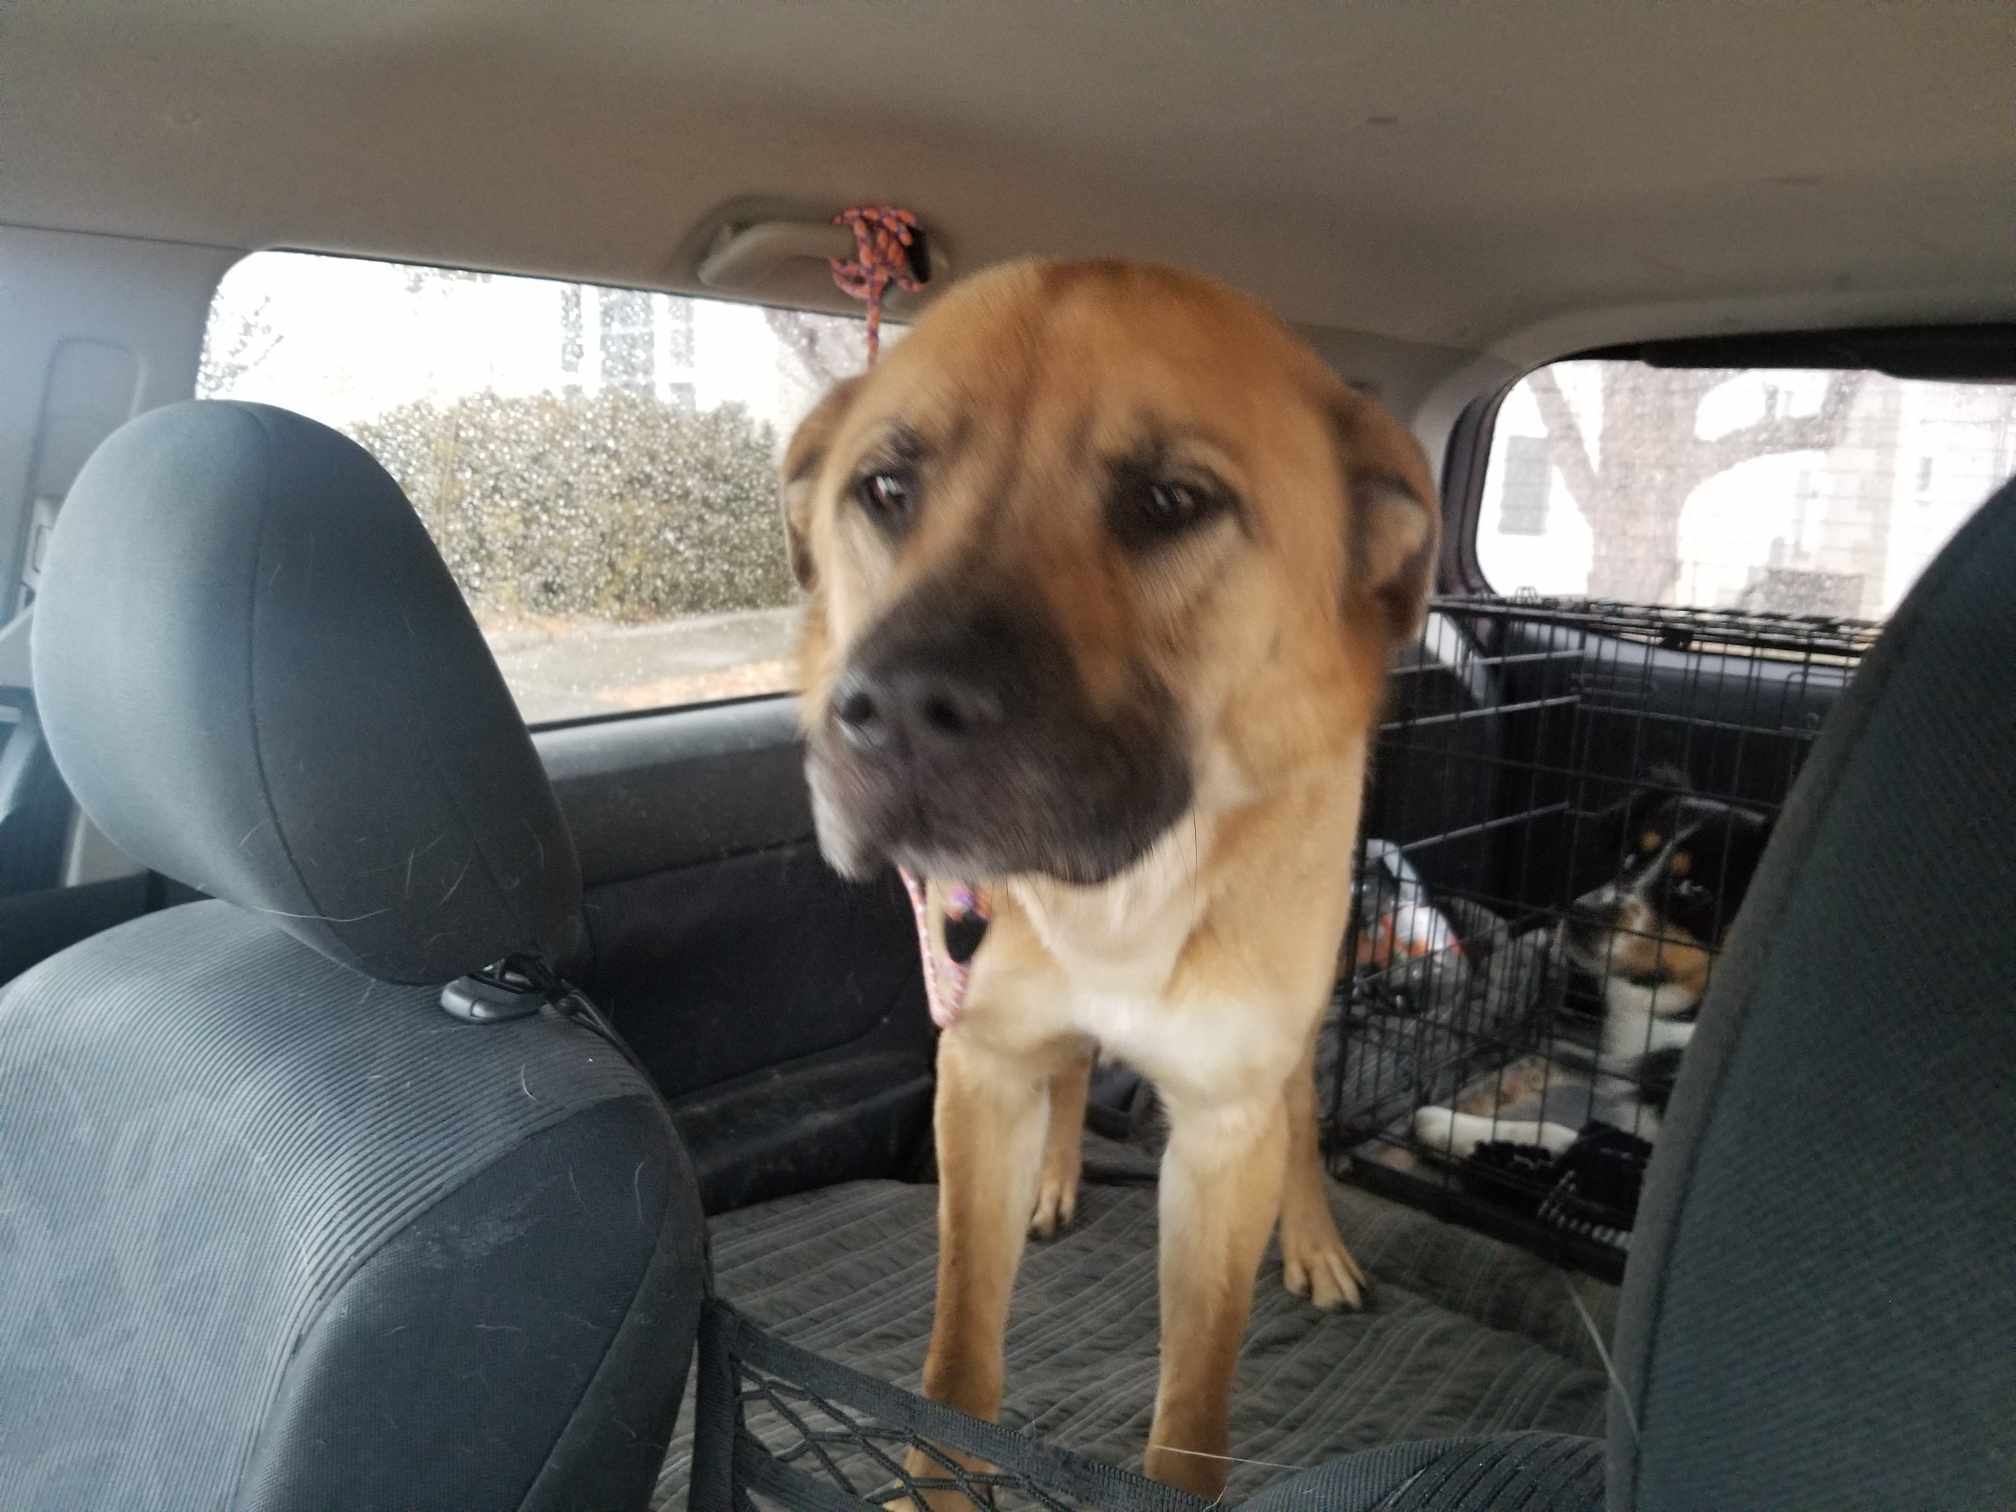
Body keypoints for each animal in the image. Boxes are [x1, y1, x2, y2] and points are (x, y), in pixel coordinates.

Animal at [782, 260, 1435, 1507]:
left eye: (1171, 502)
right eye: (885, 487)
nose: (899, 711)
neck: (1116, 900)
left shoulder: (1221, 1133)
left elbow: (1190, 1414)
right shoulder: (980, 1071)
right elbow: (956, 1361)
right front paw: (936, 1479)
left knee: (1302, 1107)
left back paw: (1316, 1239)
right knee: (1079, 1067)